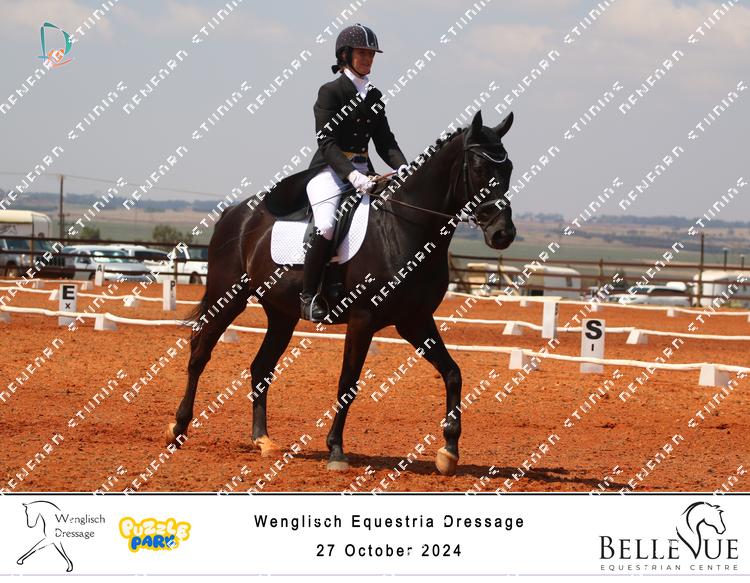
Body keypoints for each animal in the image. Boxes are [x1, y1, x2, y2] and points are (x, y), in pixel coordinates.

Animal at [165, 109, 516, 476]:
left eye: (508, 168)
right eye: (479, 169)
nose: (503, 233)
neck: (405, 227)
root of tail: (234, 213)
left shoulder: (415, 320)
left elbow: (452, 373)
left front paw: (449, 451)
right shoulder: (363, 319)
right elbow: (348, 382)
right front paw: (336, 450)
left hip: (282, 314)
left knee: (261, 367)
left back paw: (263, 440)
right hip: (228, 297)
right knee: (200, 352)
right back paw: (178, 428)